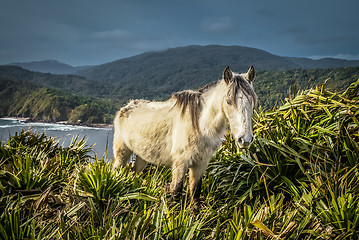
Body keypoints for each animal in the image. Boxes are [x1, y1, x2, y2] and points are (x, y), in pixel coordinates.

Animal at [112, 66, 256, 208]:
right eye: (228, 101)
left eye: (252, 102)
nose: (245, 140)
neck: (200, 125)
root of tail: (125, 107)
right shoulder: (180, 164)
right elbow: (176, 193)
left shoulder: (200, 165)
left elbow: (195, 195)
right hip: (121, 154)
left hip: (142, 157)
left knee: (135, 176)